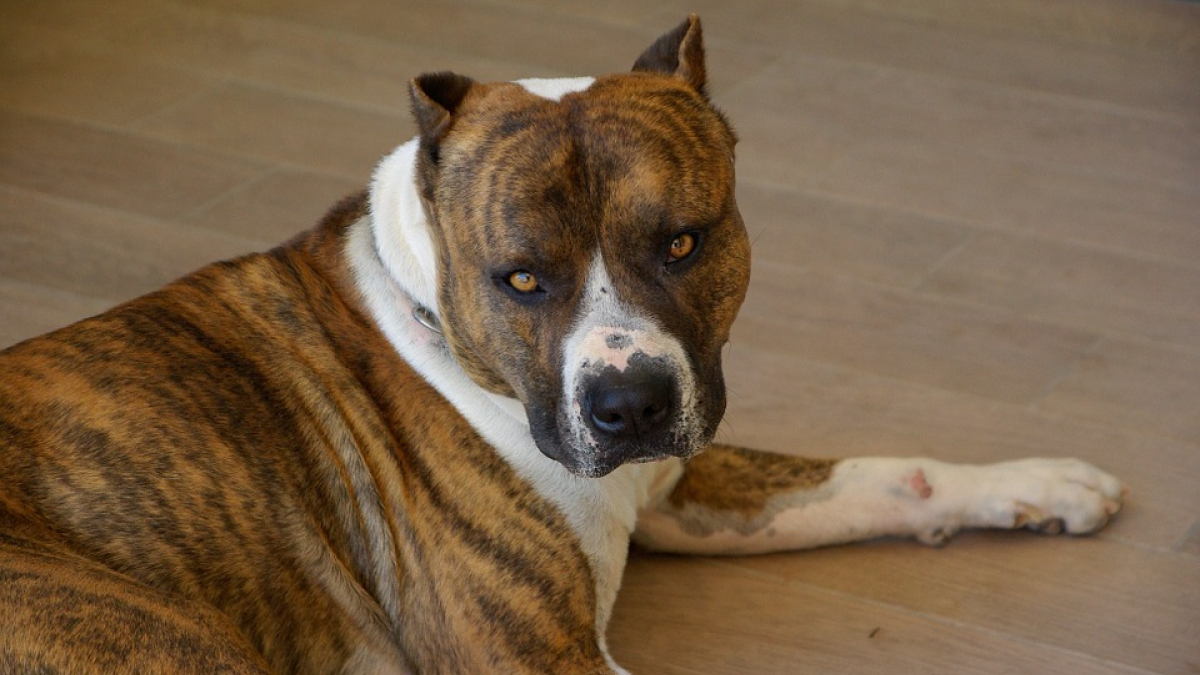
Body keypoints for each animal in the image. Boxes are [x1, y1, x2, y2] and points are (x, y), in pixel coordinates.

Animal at [0, 15, 1123, 672]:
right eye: (522, 279)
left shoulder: (685, 484)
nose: (629, 407)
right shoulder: (536, 659)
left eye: (683, 242)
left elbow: (881, 475)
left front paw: (1036, 483)